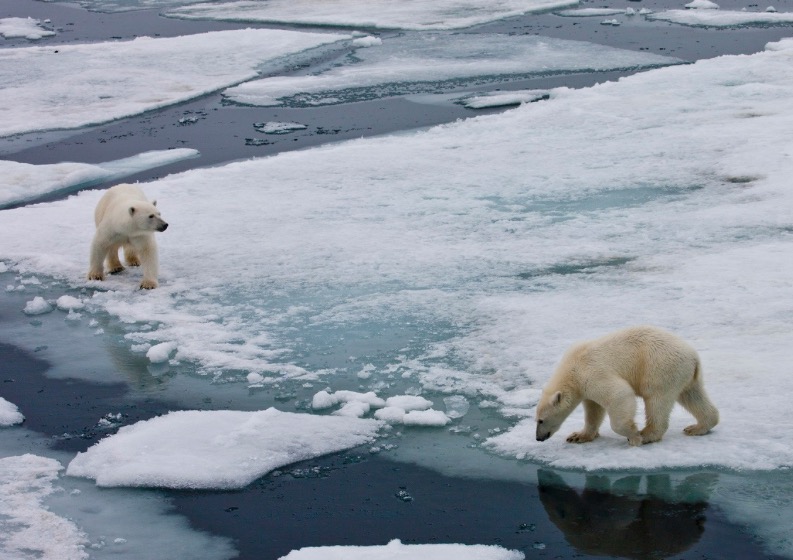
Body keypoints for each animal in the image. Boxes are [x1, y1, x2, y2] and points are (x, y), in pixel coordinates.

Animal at [532, 324, 716, 446]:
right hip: (686, 375)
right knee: (692, 396)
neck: (571, 369)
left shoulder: (591, 374)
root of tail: (693, 357)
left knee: (656, 400)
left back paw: (647, 434)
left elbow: (619, 395)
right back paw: (698, 427)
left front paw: (633, 435)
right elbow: (593, 410)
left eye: (541, 420)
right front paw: (578, 436)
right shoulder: (585, 386)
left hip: (659, 367)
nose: (538, 438)